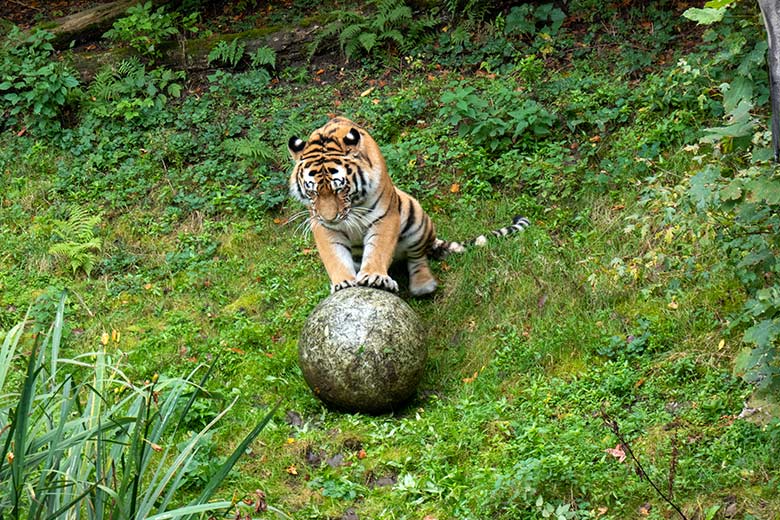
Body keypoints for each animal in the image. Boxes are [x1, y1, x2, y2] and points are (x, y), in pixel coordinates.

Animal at [286, 117, 532, 296]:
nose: (330, 217)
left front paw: (375, 276)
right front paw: (343, 283)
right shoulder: (323, 227)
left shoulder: (385, 216)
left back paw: (423, 285)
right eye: (312, 191)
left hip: (413, 212)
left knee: (418, 256)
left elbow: (378, 249)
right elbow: (335, 257)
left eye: (340, 189)